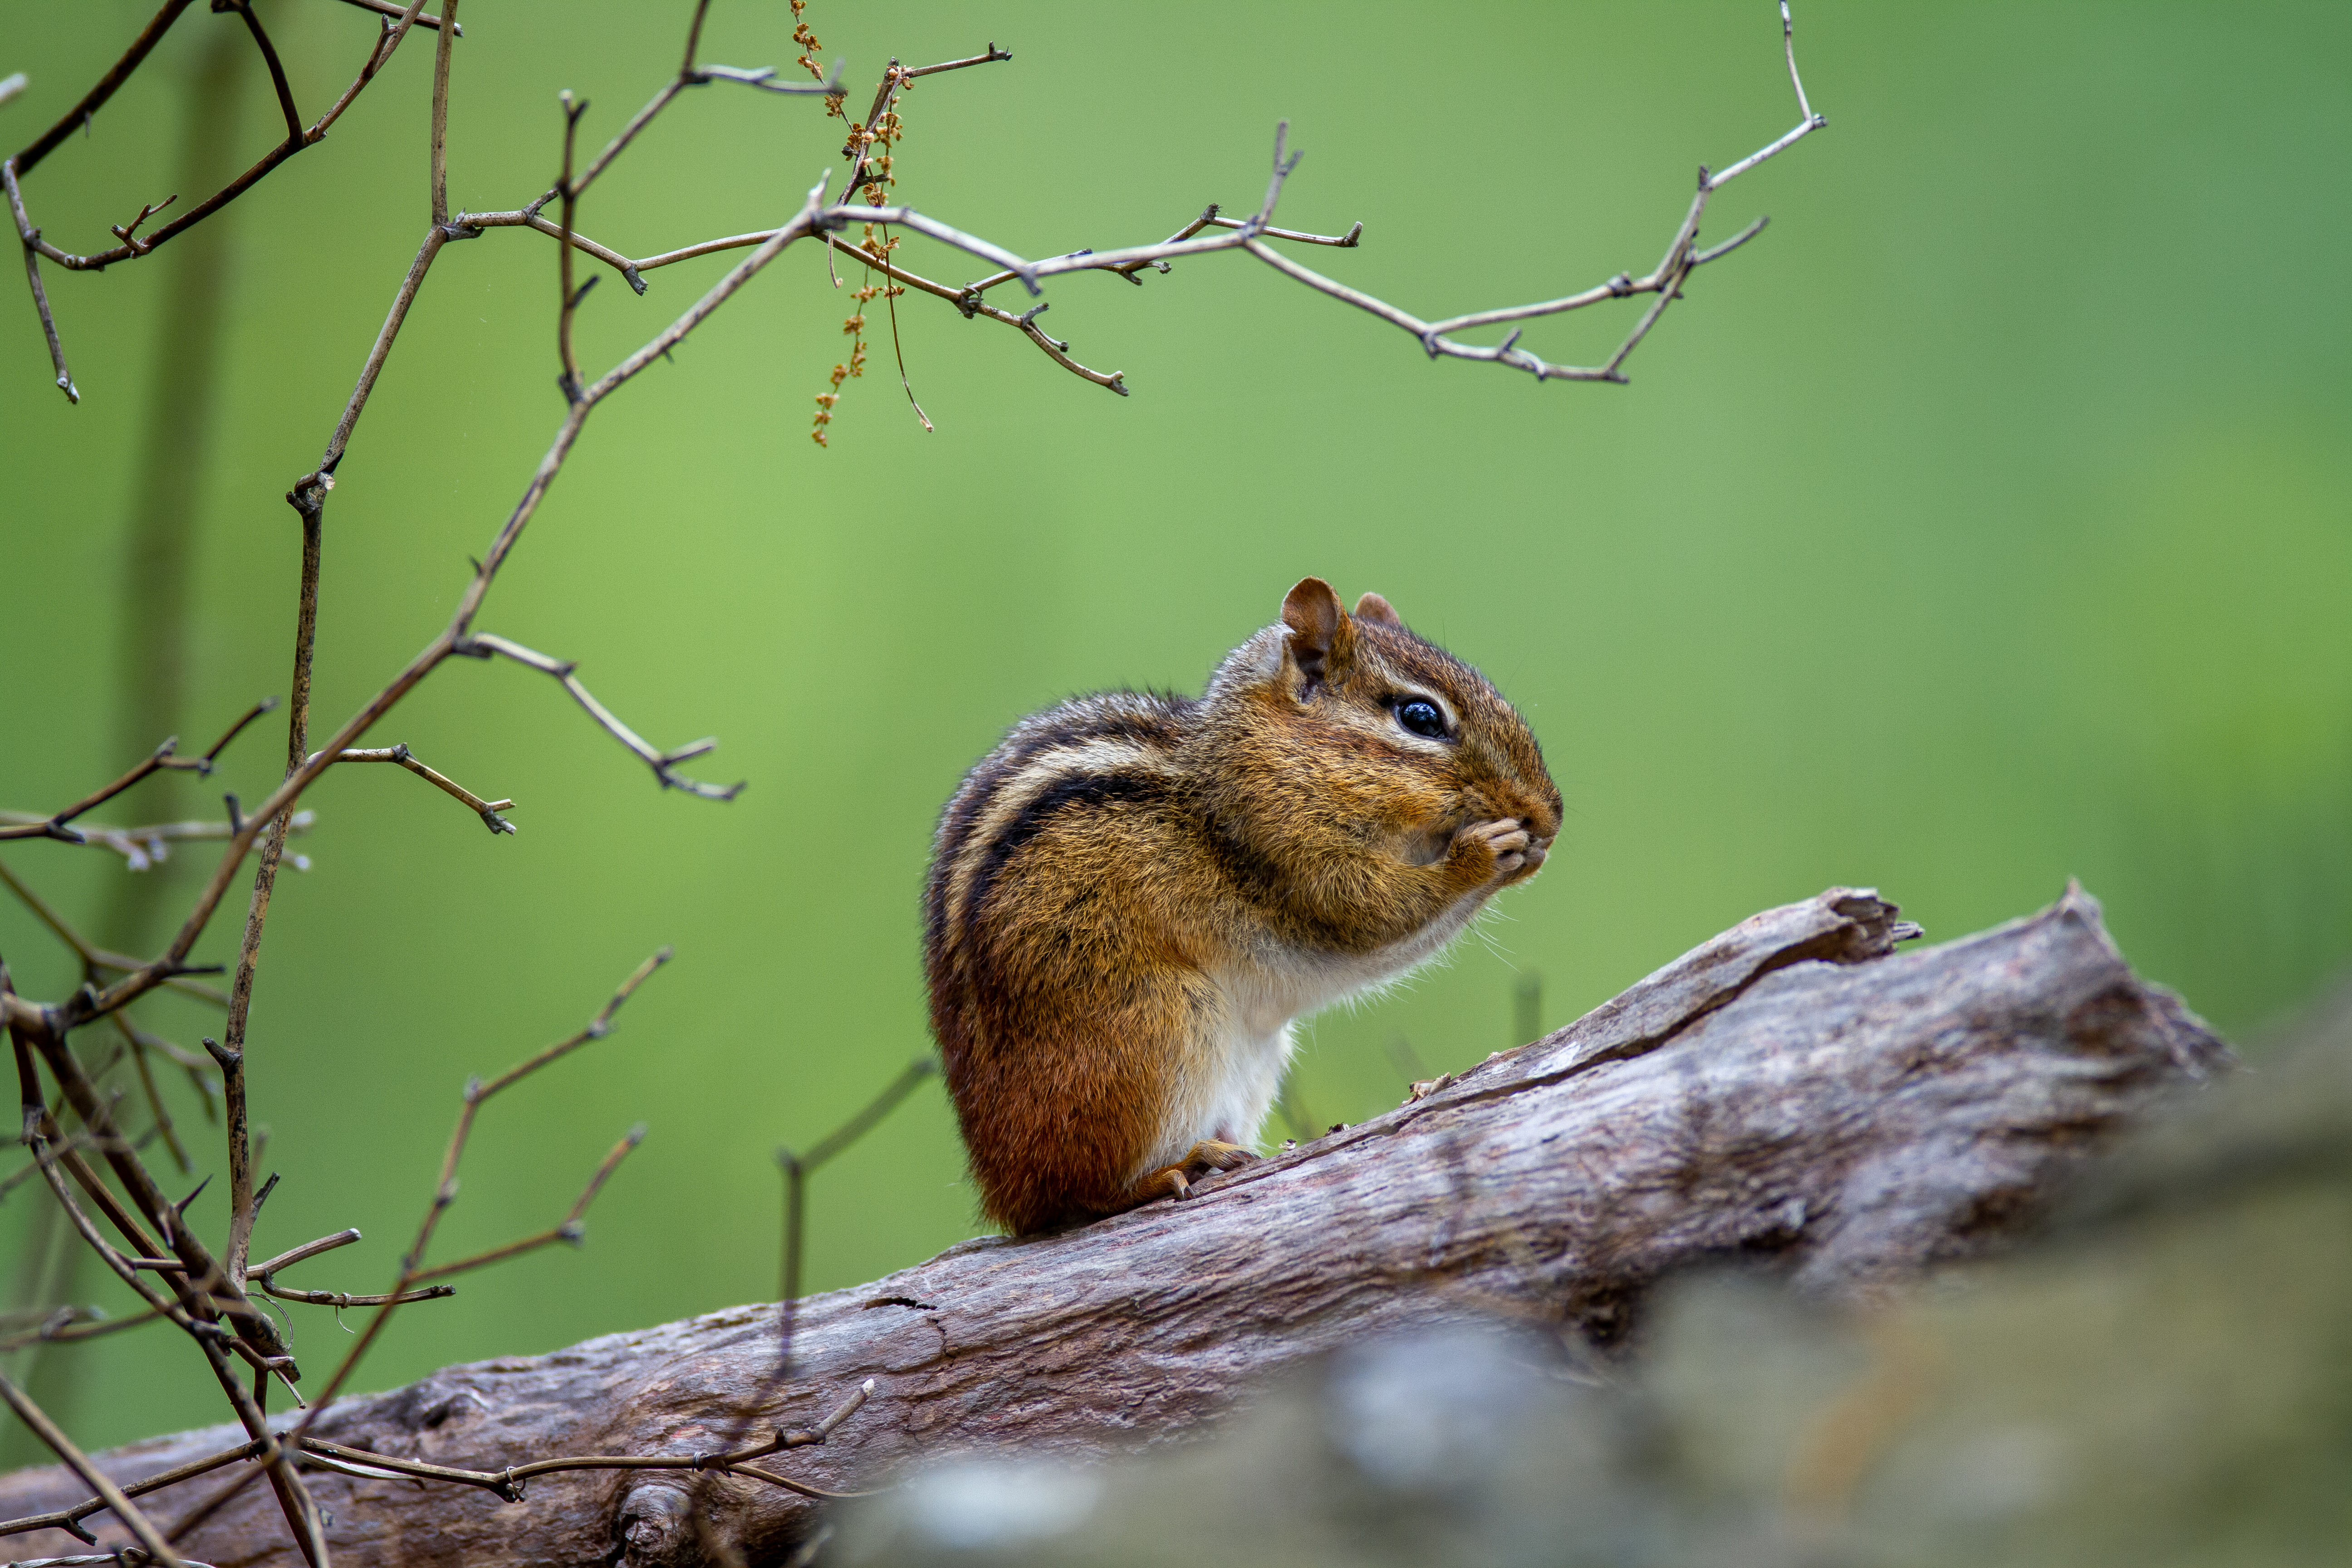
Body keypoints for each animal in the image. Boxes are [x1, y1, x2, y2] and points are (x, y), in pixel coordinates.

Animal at [924, 577, 1561, 1236]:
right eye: (1421, 717)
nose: (1550, 814)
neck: (1264, 759)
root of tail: (1006, 1195)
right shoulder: (1293, 855)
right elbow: (1375, 911)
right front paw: (1484, 854)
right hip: (1161, 1022)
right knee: (1076, 1198)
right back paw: (1172, 1170)